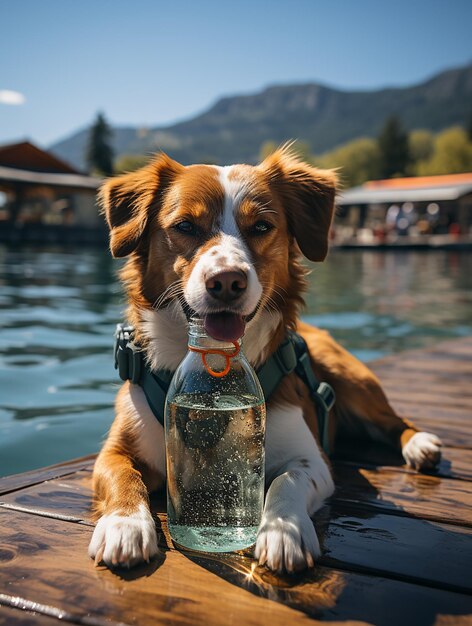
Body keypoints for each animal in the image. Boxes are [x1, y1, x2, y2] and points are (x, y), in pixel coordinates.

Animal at [87, 145, 442, 572]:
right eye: (186, 226)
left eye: (260, 226)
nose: (227, 281)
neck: (214, 374)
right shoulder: (115, 449)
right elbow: (123, 476)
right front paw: (124, 524)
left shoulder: (312, 459)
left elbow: (285, 480)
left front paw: (283, 531)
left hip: (351, 379)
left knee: (393, 421)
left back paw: (419, 444)